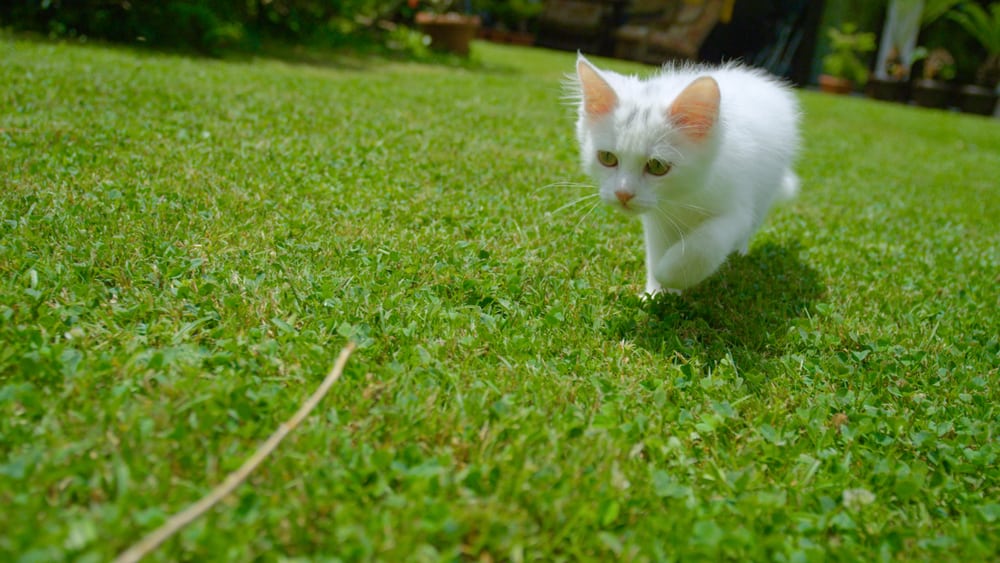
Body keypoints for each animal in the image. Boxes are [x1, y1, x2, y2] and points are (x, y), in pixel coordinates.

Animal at [576, 54, 800, 296]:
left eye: (657, 166)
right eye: (607, 158)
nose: (623, 194)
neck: (682, 197)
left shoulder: (738, 211)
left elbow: (704, 245)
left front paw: (670, 273)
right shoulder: (658, 219)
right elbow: (657, 249)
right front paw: (656, 293)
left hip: (764, 194)